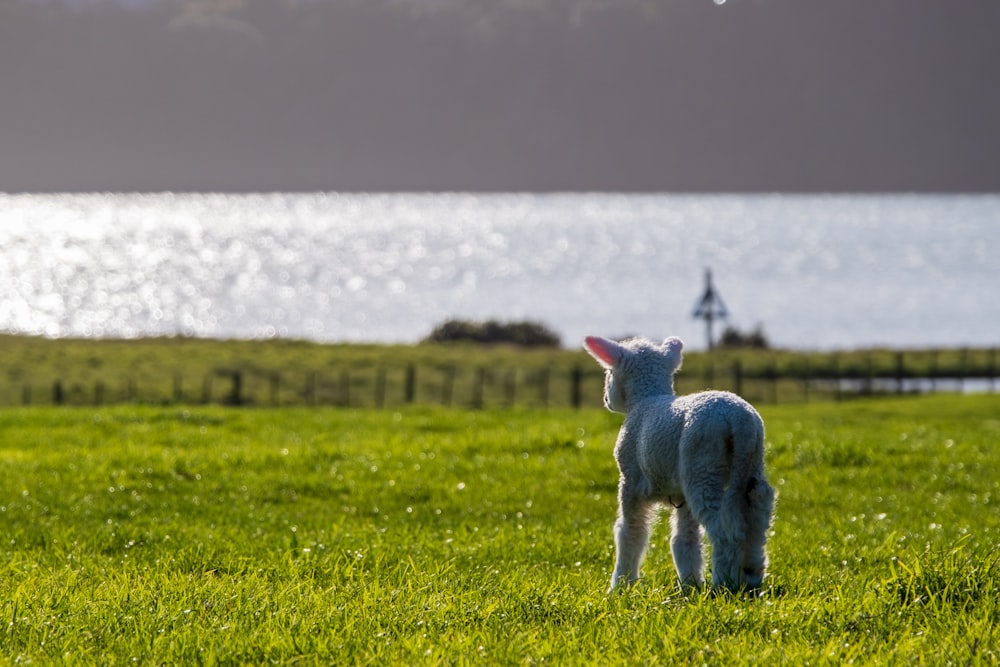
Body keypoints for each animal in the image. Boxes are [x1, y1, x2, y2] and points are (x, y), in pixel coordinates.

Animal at [584, 336, 776, 592]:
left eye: (609, 371)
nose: (607, 400)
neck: (646, 398)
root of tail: (738, 420)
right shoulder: (681, 495)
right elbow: (684, 539)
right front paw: (690, 584)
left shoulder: (629, 481)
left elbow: (630, 532)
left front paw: (620, 586)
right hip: (750, 462)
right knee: (758, 514)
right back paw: (752, 576)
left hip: (702, 466)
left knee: (725, 530)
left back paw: (724, 583)